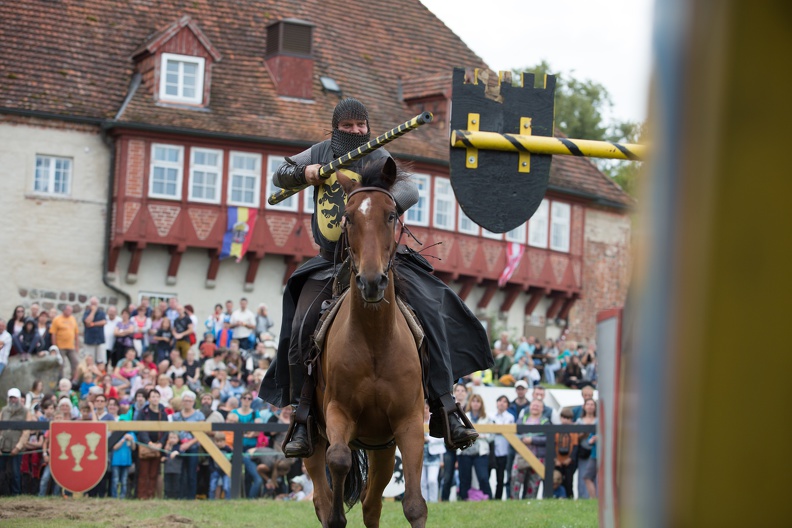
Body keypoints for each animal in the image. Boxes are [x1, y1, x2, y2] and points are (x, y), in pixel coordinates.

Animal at [304, 158, 426, 528]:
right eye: (349, 217)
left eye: (391, 215)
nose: (371, 282)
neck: (375, 341)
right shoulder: (337, 412)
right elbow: (339, 459)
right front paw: (337, 516)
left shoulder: (409, 424)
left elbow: (414, 505)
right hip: (315, 438)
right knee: (321, 492)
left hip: (382, 448)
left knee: (372, 504)